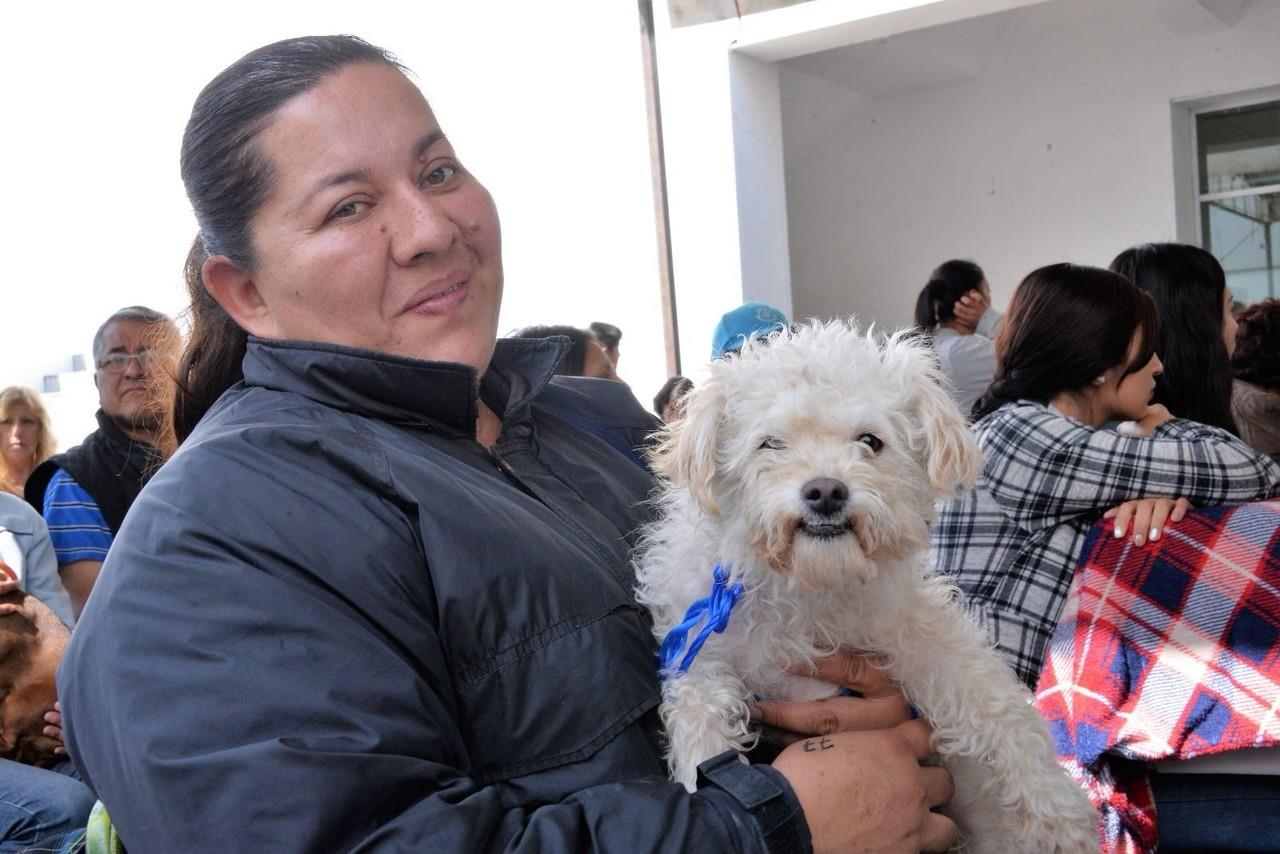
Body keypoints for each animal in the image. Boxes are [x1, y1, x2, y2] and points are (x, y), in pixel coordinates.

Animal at [634, 322, 1095, 854]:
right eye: (770, 444)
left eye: (871, 441)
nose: (825, 491)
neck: (809, 586)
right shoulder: (699, 655)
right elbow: (702, 729)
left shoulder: (916, 630)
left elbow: (992, 700)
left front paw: (1060, 812)